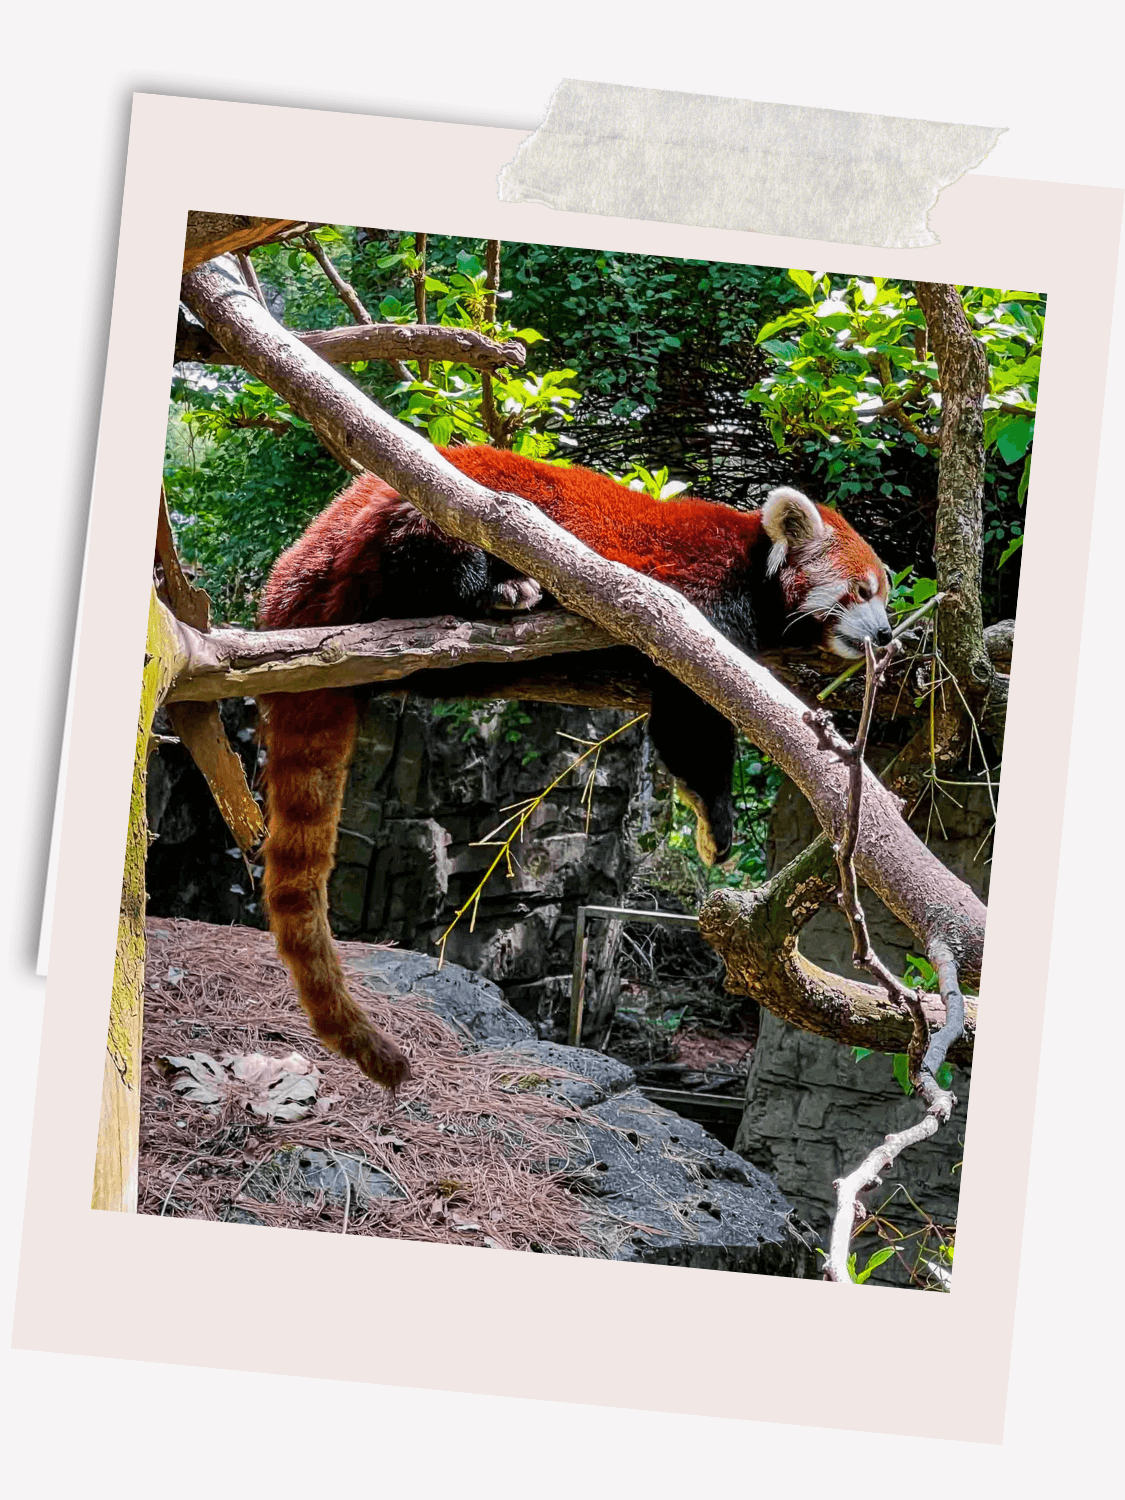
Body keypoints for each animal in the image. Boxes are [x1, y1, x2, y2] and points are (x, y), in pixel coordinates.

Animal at [255, 438, 888, 1086]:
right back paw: (501, 592)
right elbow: (691, 720)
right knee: (436, 558)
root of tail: (304, 561)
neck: (754, 564)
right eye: (862, 592)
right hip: (427, 517)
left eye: (885, 594)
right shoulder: (700, 602)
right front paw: (715, 813)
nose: (888, 635)